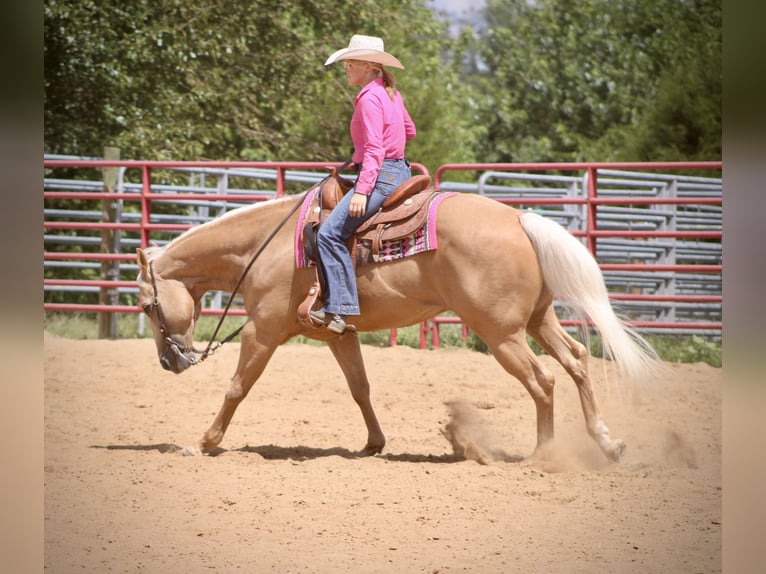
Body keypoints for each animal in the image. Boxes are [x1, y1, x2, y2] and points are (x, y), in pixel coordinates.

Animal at [135, 183, 664, 462]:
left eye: (145, 306)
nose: (168, 362)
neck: (267, 246)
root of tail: (519, 221)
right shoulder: (336, 333)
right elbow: (360, 387)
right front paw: (373, 444)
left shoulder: (261, 332)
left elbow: (236, 387)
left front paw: (205, 442)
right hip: (537, 321)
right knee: (576, 361)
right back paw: (607, 442)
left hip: (501, 334)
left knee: (543, 379)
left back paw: (543, 456)